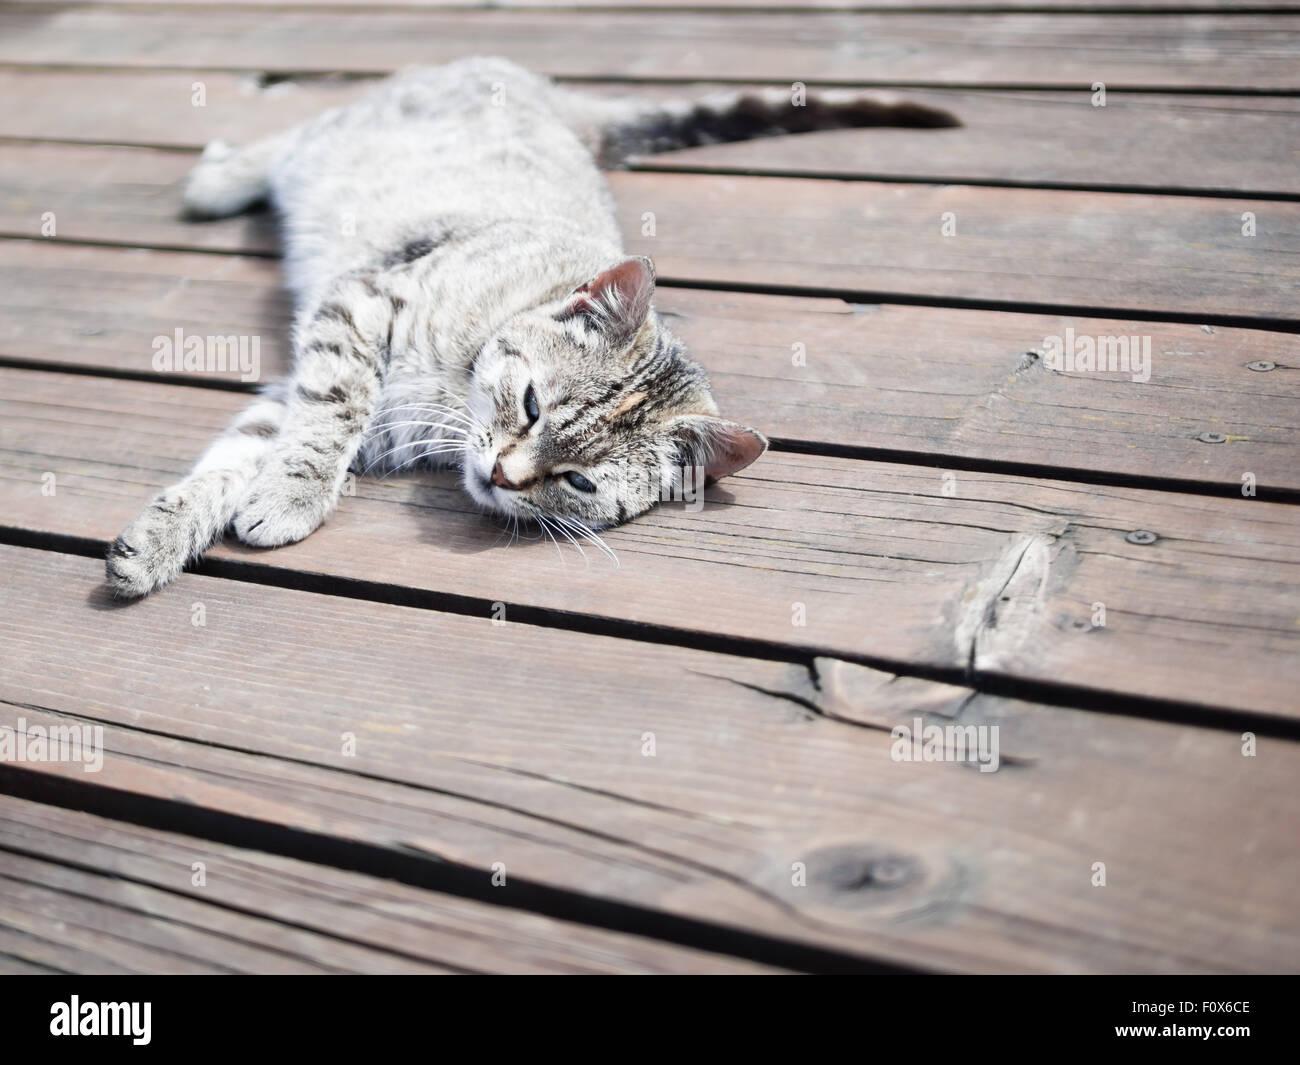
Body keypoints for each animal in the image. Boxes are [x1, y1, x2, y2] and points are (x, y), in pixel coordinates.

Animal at [104, 58, 956, 595]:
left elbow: (247, 452)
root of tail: (550, 95)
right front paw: (278, 498)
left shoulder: (329, 381)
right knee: (293, 137)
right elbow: (313, 429)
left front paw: (174, 534)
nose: (505, 476)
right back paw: (220, 178)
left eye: (577, 480)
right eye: (533, 403)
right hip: (347, 138)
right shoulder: (357, 310)